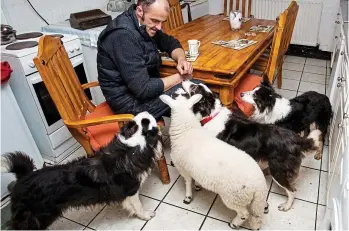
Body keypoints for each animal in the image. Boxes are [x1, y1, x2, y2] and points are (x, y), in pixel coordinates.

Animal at [1, 111, 162, 229]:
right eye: (146, 123)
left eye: (134, 124)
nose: (145, 112)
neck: (130, 149)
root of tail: (23, 178)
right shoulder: (131, 190)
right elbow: (138, 206)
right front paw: (146, 215)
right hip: (37, 217)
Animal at [159, 93, 268, 229]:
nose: (174, 93)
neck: (186, 130)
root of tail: (259, 185)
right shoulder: (192, 168)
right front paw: (197, 186)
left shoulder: (182, 167)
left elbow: (188, 182)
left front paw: (188, 197)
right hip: (252, 198)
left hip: (233, 197)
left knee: (244, 213)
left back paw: (234, 223)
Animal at [179, 81, 320, 211]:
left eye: (194, 87)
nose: (184, 80)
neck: (212, 116)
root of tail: (295, 138)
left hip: (278, 170)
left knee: (292, 190)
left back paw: (286, 206)